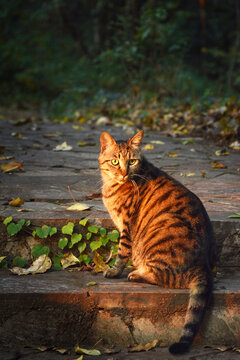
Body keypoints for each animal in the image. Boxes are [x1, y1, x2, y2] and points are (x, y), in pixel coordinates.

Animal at [97, 130, 216, 354]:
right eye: (115, 161)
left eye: (132, 161)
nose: (124, 173)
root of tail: (203, 265)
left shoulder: (127, 226)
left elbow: (122, 252)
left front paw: (114, 271)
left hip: (163, 226)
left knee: (169, 278)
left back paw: (137, 274)